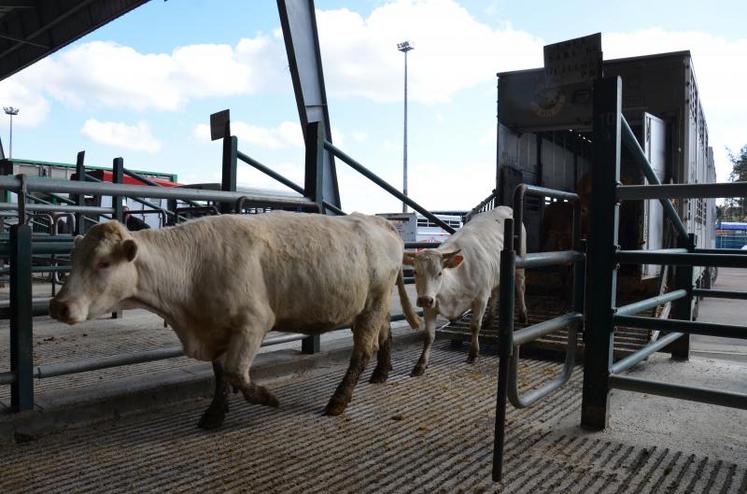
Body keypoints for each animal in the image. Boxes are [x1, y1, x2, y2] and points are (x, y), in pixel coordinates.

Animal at [49, 212, 420, 428]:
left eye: (103, 263)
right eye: (74, 259)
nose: (59, 306)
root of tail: (380, 222)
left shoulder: (252, 323)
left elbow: (235, 372)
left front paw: (266, 397)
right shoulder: (216, 327)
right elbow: (219, 373)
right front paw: (215, 413)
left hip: (373, 302)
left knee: (363, 350)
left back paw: (339, 400)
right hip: (373, 305)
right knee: (384, 334)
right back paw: (382, 374)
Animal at [404, 206, 524, 376]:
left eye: (439, 273)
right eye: (415, 272)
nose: (424, 300)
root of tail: (505, 208)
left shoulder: (481, 298)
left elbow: (474, 326)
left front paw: (473, 353)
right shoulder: (431, 305)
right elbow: (429, 336)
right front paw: (421, 364)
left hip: (519, 264)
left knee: (520, 286)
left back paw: (523, 315)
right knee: (495, 293)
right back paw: (489, 319)